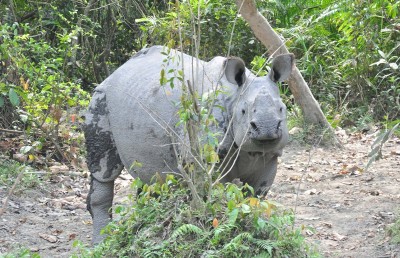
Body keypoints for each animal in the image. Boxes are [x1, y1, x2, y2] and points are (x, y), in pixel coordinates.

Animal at [84, 44, 294, 244]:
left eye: (282, 109)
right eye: (243, 111)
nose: (267, 128)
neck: (234, 96)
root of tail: (115, 72)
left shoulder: (270, 157)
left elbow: (255, 198)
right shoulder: (206, 155)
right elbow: (220, 196)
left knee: (151, 178)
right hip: (100, 98)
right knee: (104, 172)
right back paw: (100, 243)